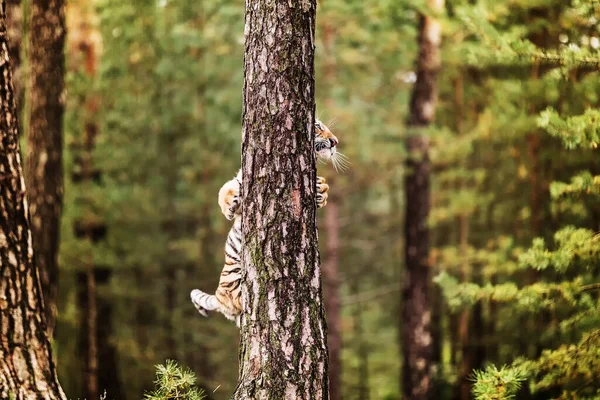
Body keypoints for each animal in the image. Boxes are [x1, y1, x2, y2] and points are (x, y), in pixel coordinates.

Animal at [190, 119, 344, 324]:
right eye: (318, 126)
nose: (335, 142)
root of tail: (218, 294)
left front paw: (321, 189)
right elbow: (226, 190)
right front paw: (230, 205)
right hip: (233, 279)